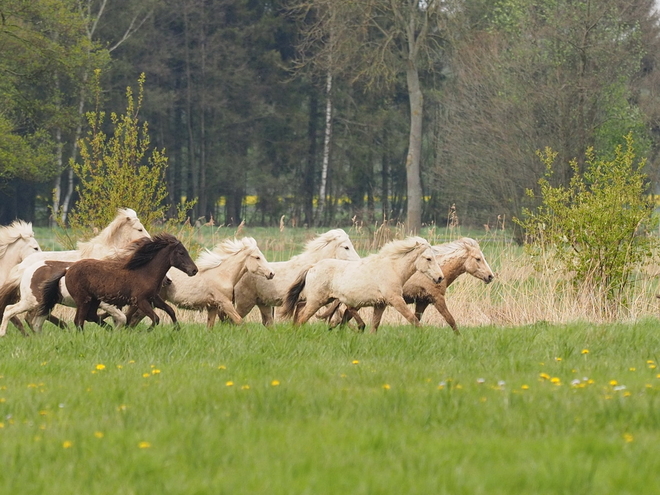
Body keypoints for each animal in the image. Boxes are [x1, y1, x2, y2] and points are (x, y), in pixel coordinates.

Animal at [0, 207, 150, 336]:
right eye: (140, 229)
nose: (149, 240)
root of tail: (23, 267)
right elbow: (118, 317)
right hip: (32, 300)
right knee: (17, 313)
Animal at [38, 234, 197, 332]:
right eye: (181, 252)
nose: (194, 270)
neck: (145, 272)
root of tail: (67, 270)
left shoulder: (154, 298)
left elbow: (170, 310)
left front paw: (177, 329)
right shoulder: (140, 301)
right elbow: (155, 318)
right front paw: (146, 331)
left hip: (94, 300)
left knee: (91, 316)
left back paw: (110, 330)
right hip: (83, 300)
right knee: (79, 320)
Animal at [219, 230, 358, 330]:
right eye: (346, 247)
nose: (358, 261)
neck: (312, 266)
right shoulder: (317, 297)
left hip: (263, 303)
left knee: (267, 322)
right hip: (245, 302)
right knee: (232, 319)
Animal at [282, 236, 444, 334]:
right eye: (428, 258)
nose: (440, 277)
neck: (392, 268)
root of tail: (313, 266)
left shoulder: (380, 304)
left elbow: (375, 325)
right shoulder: (396, 300)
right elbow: (412, 318)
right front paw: (423, 334)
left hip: (323, 299)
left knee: (299, 307)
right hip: (317, 301)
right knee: (302, 317)